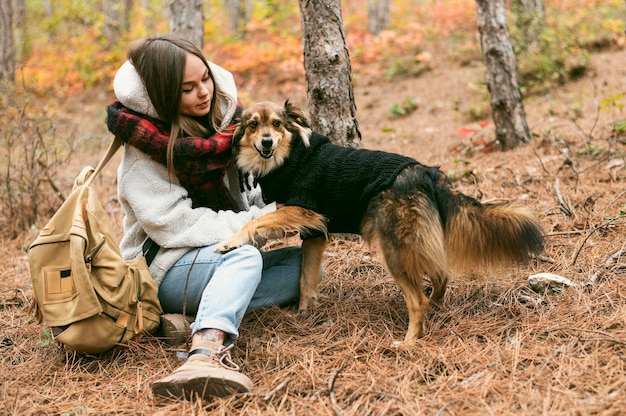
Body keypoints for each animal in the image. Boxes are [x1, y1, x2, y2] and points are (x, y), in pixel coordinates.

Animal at [214, 101, 540, 342]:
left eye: (277, 124)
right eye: (253, 125)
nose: (267, 141)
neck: (290, 158)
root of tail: (426, 172)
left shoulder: (305, 212)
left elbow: (255, 222)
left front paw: (228, 242)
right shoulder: (315, 234)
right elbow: (306, 278)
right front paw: (305, 313)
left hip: (394, 250)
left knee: (418, 300)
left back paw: (409, 342)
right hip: (416, 242)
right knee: (441, 275)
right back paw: (436, 308)